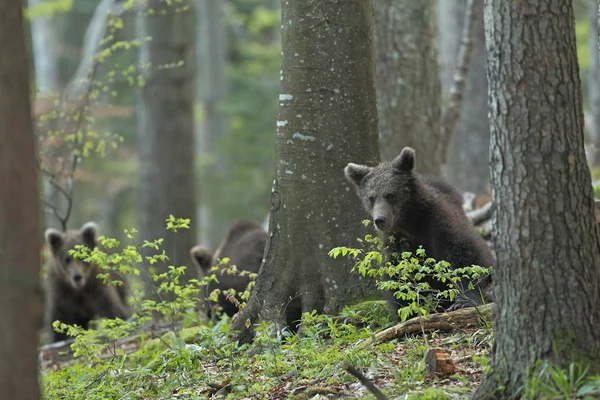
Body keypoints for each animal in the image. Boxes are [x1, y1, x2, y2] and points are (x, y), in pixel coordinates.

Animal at [342, 147, 492, 318]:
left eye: (390, 194)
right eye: (371, 197)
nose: (380, 219)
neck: (411, 221)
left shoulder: (440, 225)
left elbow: (465, 257)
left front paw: (464, 300)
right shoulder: (397, 242)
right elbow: (398, 274)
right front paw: (408, 309)